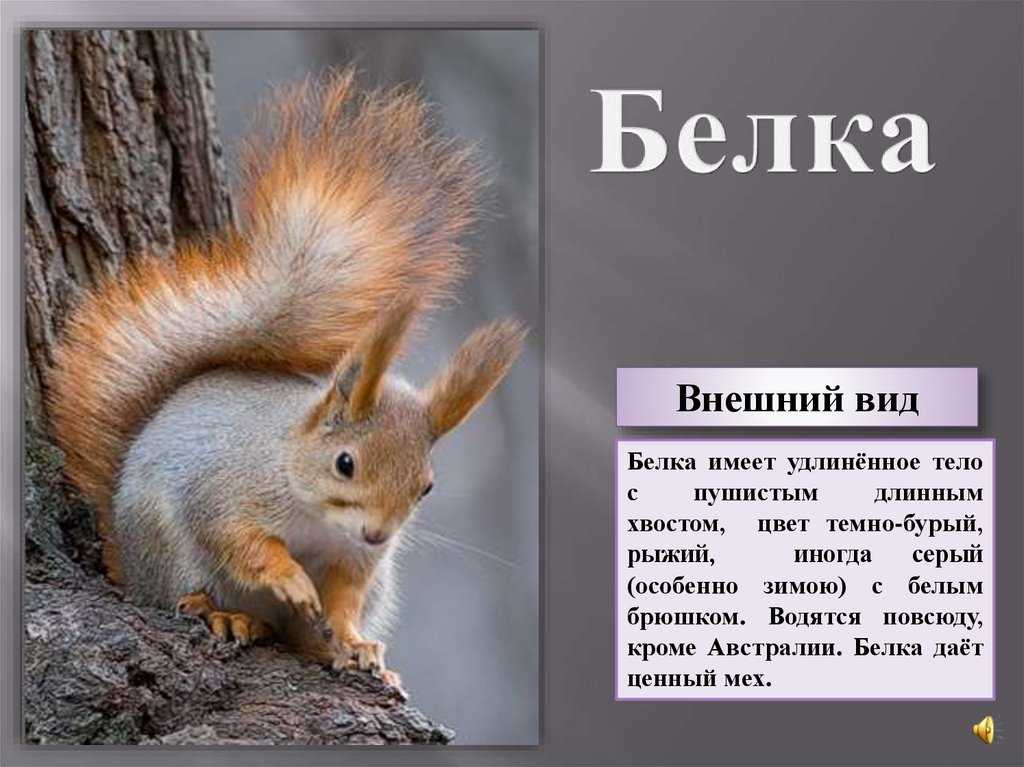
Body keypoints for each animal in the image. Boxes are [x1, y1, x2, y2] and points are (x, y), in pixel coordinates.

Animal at [46, 69, 525, 687]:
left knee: (299, 634)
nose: (378, 533)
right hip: (161, 544)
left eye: (427, 486)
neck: (317, 513)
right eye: (345, 463)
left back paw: (337, 648)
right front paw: (289, 576)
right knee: (185, 592)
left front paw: (352, 638)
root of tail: (126, 561)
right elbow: (242, 542)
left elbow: (343, 598)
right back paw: (222, 613)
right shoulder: (223, 491)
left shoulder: (357, 560)